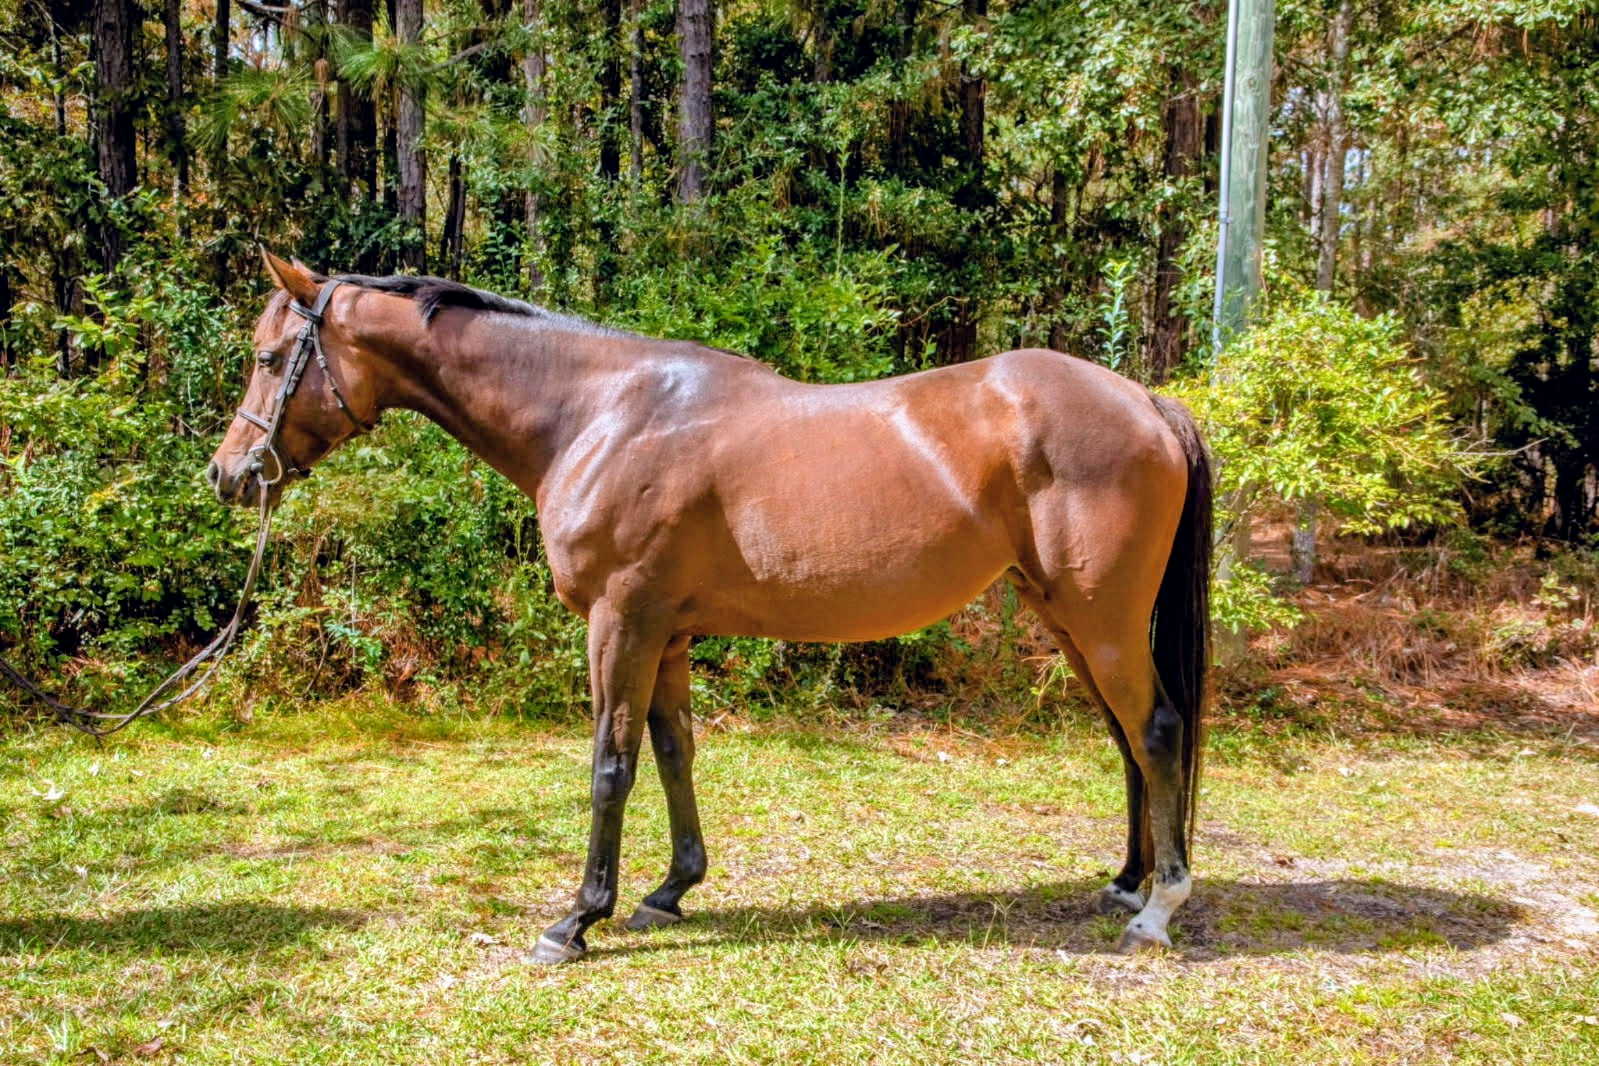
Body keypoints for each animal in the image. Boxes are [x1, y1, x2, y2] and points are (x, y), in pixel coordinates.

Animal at [208, 250, 1212, 963]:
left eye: (268, 358)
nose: (230, 474)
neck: (598, 416)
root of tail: (1146, 401)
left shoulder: (619, 622)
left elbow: (610, 766)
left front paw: (576, 922)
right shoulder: (667, 633)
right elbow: (673, 753)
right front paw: (669, 891)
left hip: (1100, 620)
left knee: (1155, 729)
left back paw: (1157, 909)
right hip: (1067, 618)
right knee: (1126, 739)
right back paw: (1127, 882)